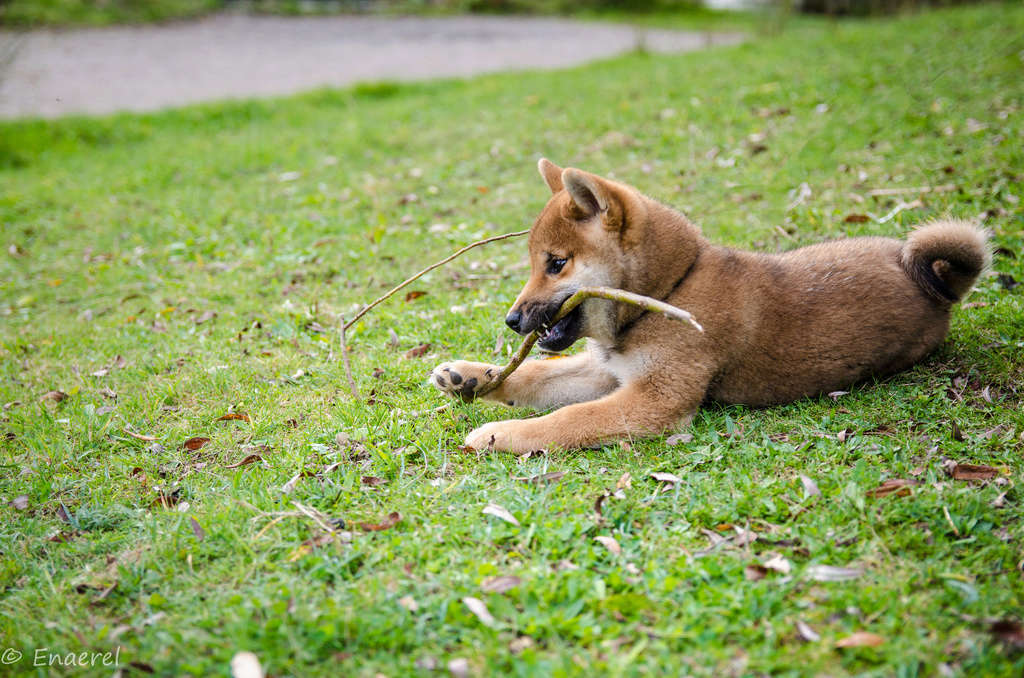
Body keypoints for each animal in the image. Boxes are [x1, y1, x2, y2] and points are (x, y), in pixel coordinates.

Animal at [432, 159, 991, 456]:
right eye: (537, 262)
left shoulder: (653, 399)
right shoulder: (608, 371)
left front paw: (501, 433)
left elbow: (565, 419)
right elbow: (535, 377)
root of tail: (932, 284)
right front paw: (471, 375)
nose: (511, 320)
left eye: (556, 263)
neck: (671, 290)